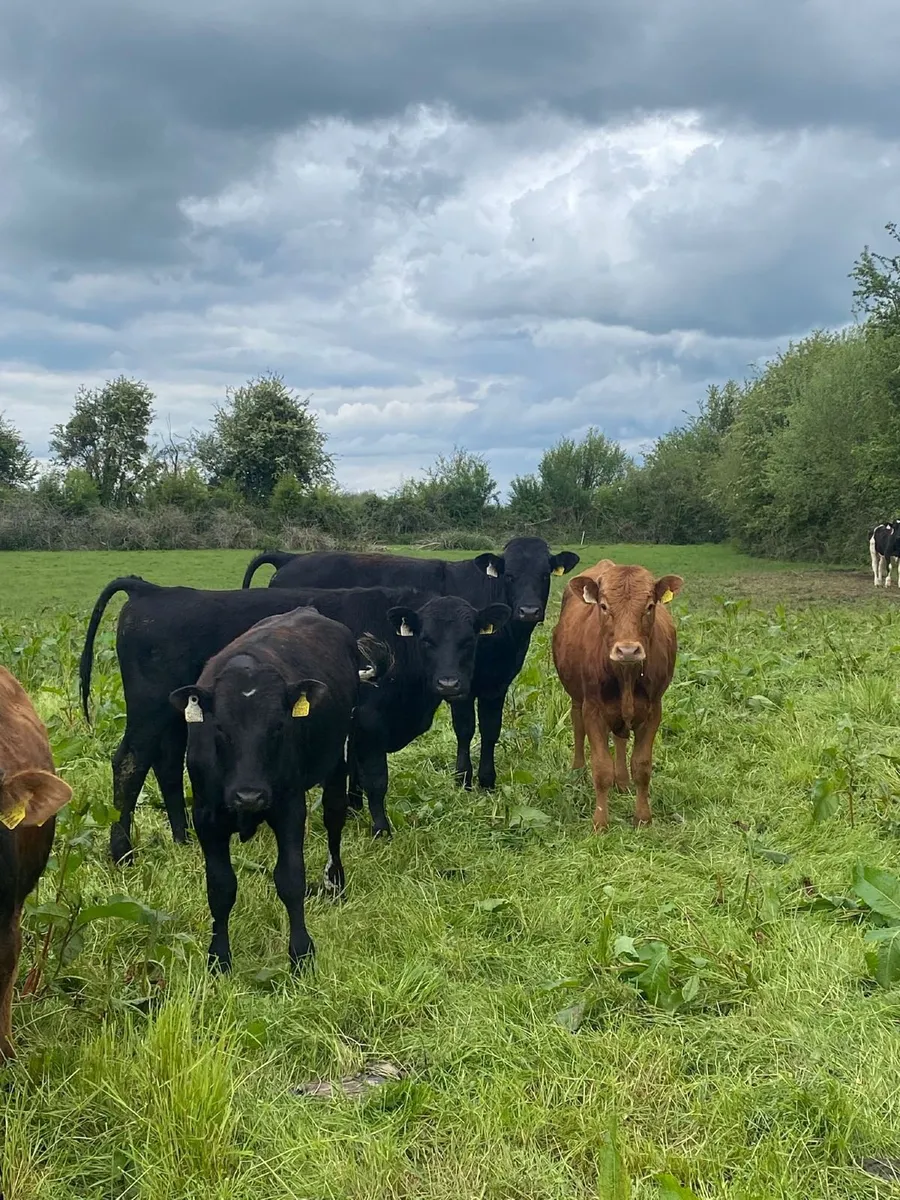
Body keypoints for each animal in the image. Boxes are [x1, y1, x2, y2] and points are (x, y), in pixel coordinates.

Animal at [79, 577, 507, 861]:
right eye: (427, 639)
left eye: (469, 639)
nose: (450, 683)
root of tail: (150, 589)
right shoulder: (370, 723)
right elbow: (375, 780)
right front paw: (381, 830)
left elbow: (353, 775)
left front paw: (351, 812)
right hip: (147, 712)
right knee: (130, 764)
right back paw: (122, 852)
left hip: (175, 715)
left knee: (166, 765)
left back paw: (182, 839)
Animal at [169, 607, 371, 972]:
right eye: (220, 728)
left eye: (278, 726)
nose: (249, 795)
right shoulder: (206, 817)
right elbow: (220, 886)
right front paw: (219, 957)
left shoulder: (288, 808)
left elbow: (290, 879)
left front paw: (301, 954)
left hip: (338, 758)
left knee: (334, 818)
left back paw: (334, 882)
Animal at [241, 537, 581, 791]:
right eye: (510, 574)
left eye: (544, 574)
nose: (529, 610)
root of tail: (290, 557)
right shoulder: (460, 683)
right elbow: (465, 729)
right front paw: (463, 780)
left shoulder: (495, 685)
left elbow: (491, 730)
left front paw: (487, 781)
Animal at [551, 560, 683, 832]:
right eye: (603, 606)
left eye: (650, 606)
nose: (627, 650)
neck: (626, 674)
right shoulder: (592, 709)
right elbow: (601, 768)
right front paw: (600, 822)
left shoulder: (654, 709)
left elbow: (642, 766)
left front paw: (643, 817)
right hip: (577, 698)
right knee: (578, 727)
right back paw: (578, 771)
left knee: (620, 738)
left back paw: (622, 781)